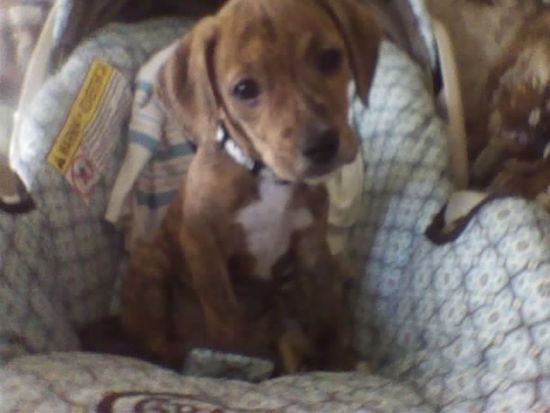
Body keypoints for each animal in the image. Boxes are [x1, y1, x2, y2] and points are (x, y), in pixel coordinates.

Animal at [119, 0, 382, 370]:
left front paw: (338, 359)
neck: (266, 176)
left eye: (330, 58)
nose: (321, 145)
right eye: (244, 90)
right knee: (158, 344)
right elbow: (224, 313)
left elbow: (327, 308)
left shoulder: (312, 245)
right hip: (149, 264)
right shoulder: (203, 244)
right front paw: (234, 358)